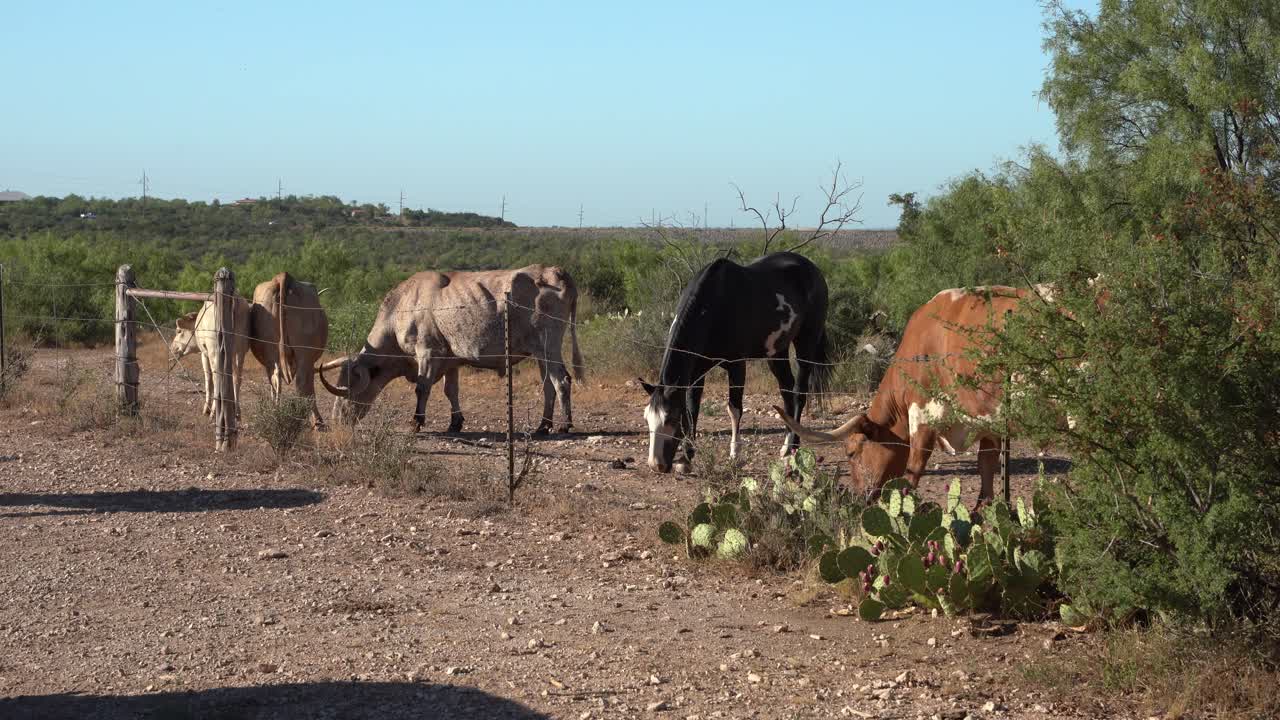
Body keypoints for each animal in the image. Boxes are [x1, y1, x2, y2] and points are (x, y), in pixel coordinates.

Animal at [638, 251, 831, 473]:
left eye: (670, 419)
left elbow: (734, 408)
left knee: (799, 394)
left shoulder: (737, 365)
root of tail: (813, 270)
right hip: (776, 352)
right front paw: (687, 458)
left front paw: (735, 456)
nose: (656, 464)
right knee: (787, 392)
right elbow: (692, 408)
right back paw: (785, 447)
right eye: (647, 419)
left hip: (805, 344)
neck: (714, 305)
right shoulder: (697, 369)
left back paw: (793, 448)